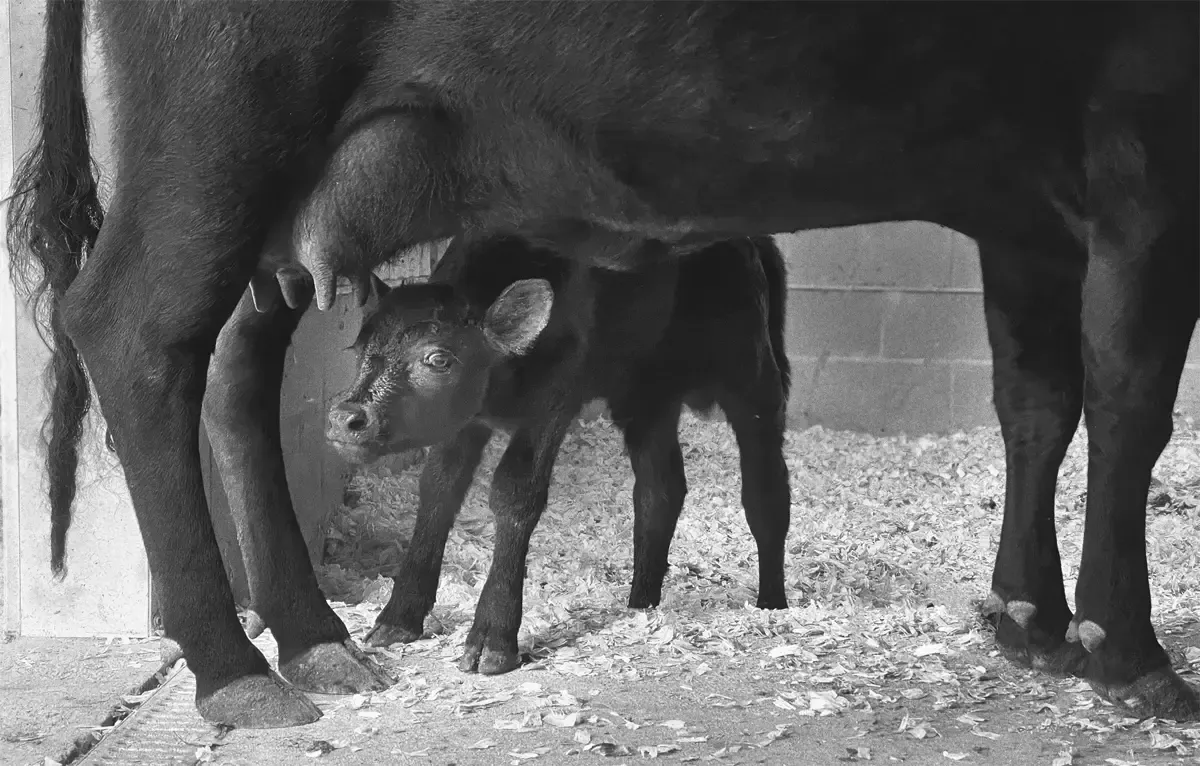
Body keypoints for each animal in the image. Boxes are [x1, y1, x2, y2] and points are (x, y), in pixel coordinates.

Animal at [324, 233, 791, 674]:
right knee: (659, 490)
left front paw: (492, 639)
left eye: (438, 359)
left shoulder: (552, 402)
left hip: (751, 372)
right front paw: (398, 619)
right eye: (358, 348)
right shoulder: (466, 421)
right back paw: (641, 602)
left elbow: (515, 492)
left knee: (764, 490)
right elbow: (439, 490)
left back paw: (773, 602)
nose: (346, 417)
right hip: (646, 397)